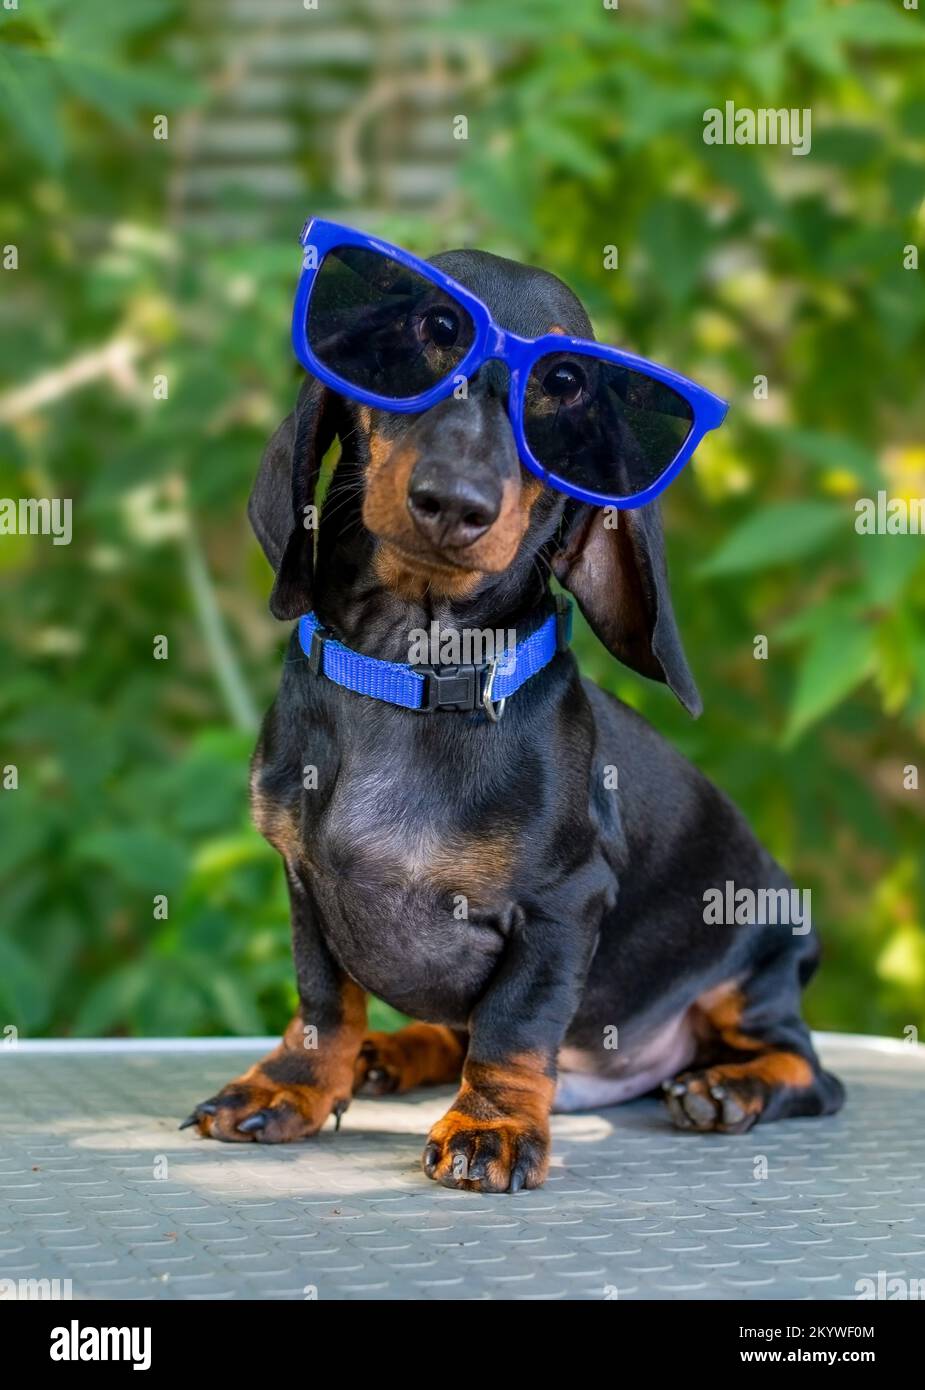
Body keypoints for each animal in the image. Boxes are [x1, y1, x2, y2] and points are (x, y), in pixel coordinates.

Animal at [182, 233, 845, 1189]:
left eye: (564, 388)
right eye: (432, 331)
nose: (454, 503)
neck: (413, 675)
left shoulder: (562, 905)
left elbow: (513, 1025)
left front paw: (490, 1126)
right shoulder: (303, 883)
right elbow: (322, 1002)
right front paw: (290, 1088)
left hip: (753, 967)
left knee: (809, 1069)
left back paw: (732, 1088)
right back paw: (395, 1052)